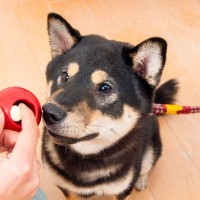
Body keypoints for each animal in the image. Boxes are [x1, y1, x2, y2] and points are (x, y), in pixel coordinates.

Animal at [41, 13, 178, 199]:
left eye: (105, 88)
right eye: (64, 76)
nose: (49, 112)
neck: (87, 156)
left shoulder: (121, 190)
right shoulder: (65, 187)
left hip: (153, 147)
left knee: (146, 165)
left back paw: (141, 179)